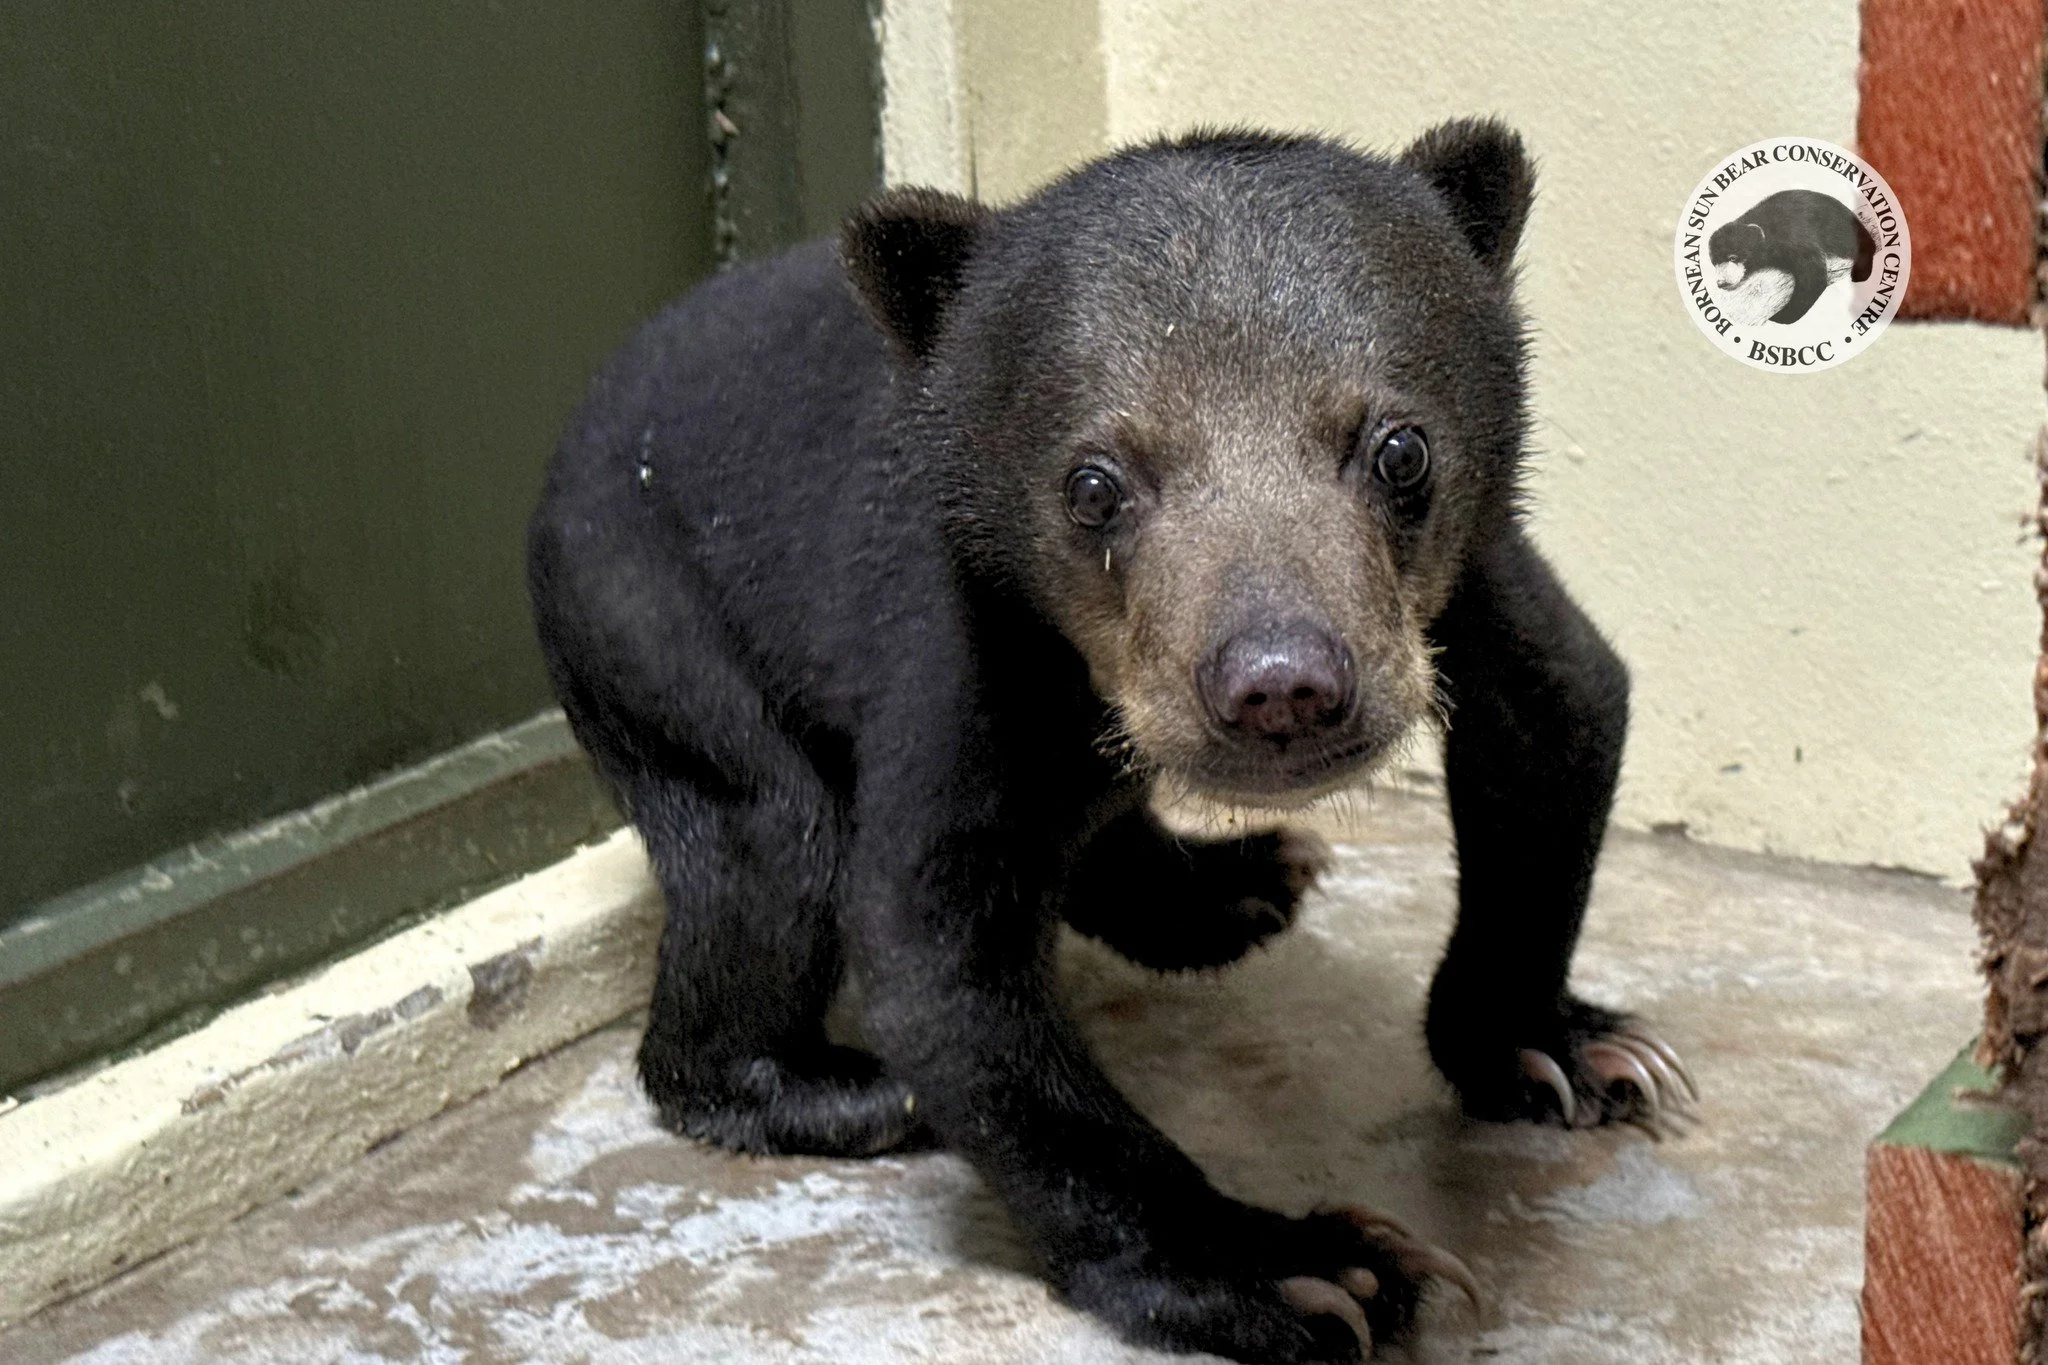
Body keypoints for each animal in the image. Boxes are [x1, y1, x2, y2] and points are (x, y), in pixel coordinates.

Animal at [526, 120, 1693, 1363]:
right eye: (1093, 483)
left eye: (1398, 449)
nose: (1280, 687)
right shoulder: (963, 640)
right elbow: (938, 952)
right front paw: (1300, 1268)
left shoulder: (1468, 578)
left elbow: (1554, 722)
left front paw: (1562, 1051)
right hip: (648, 615)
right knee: (767, 848)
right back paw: (836, 1088)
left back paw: (1230, 886)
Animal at [1709, 187, 1875, 326]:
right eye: (1714, 262)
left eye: (1733, 257)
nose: (1721, 282)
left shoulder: (1792, 237)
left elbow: (1813, 274)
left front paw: (1781, 317)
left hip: (1837, 228)